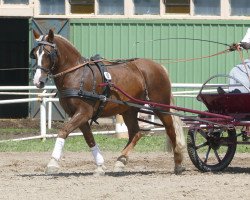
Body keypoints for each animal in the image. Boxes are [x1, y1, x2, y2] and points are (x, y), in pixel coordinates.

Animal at [30, 28, 186, 174]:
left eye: (48, 53)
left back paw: (178, 163)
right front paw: (100, 165)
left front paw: (52, 163)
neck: (77, 74)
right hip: (129, 110)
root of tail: (159, 67)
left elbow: (63, 131)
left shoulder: (84, 112)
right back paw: (120, 161)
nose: (38, 81)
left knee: (170, 130)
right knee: (136, 133)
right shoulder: (79, 115)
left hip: (161, 107)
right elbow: (89, 139)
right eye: (35, 54)